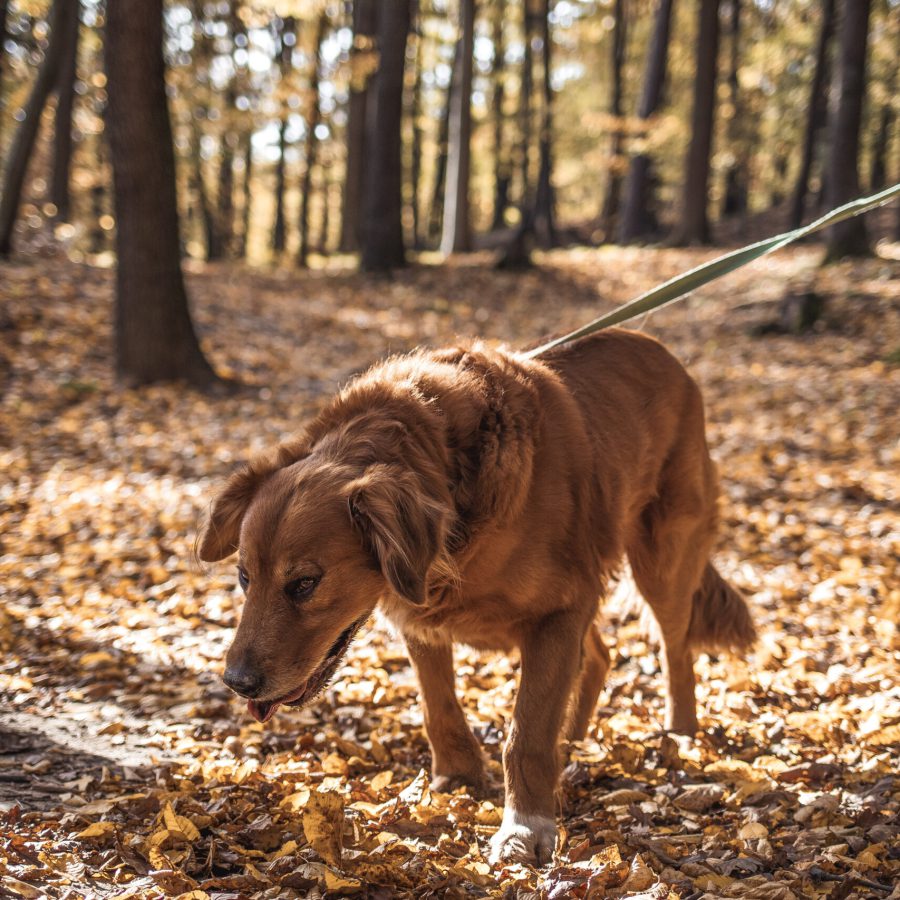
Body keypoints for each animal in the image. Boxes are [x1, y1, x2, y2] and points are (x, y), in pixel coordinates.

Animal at [200, 328, 756, 864]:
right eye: (245, 577)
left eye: (304, 583)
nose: (237, 683)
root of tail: (661, 350)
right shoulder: (424, 615)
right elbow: (439, 707)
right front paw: (459, 776)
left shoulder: (559, 608)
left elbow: (526, 733)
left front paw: (525, 827)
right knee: (600, 654)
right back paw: (574, 738)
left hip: (663, 558)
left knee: (675, 650)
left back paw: (679, 735)